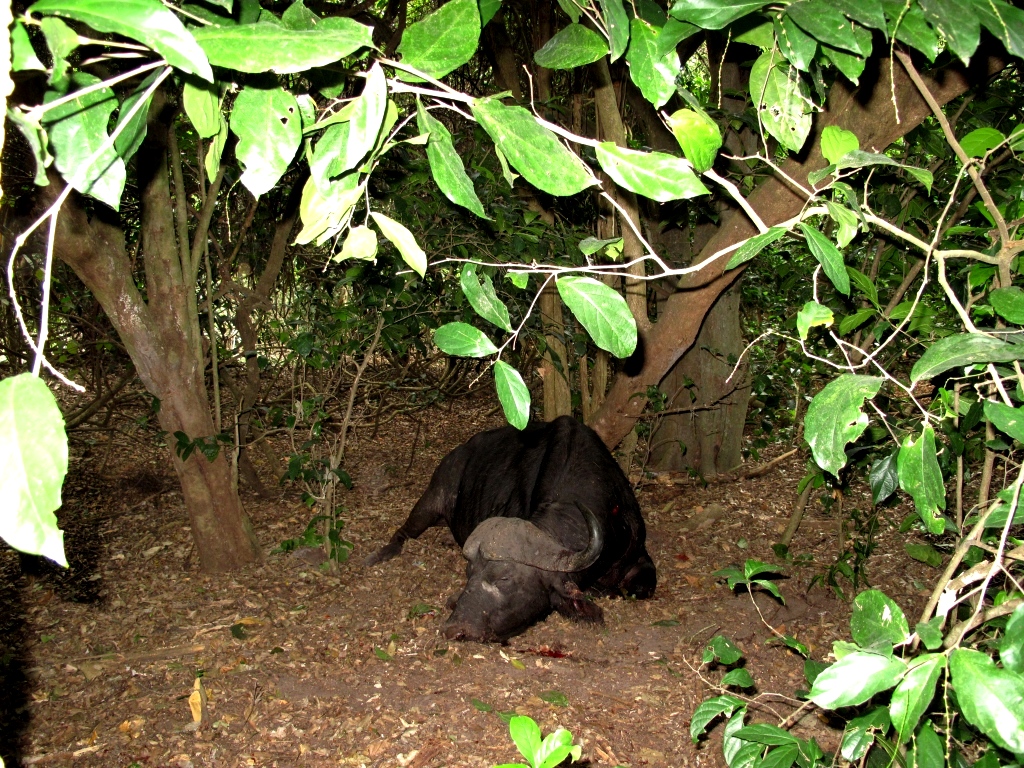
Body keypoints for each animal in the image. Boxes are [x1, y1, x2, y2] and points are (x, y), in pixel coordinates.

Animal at [365, 416, 657, 642]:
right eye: (469, 573)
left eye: (504, 579)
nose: (456, 628)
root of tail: (459, 452)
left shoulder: (639, 554)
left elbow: (642, 588)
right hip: (432, 498)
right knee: (404, 531)